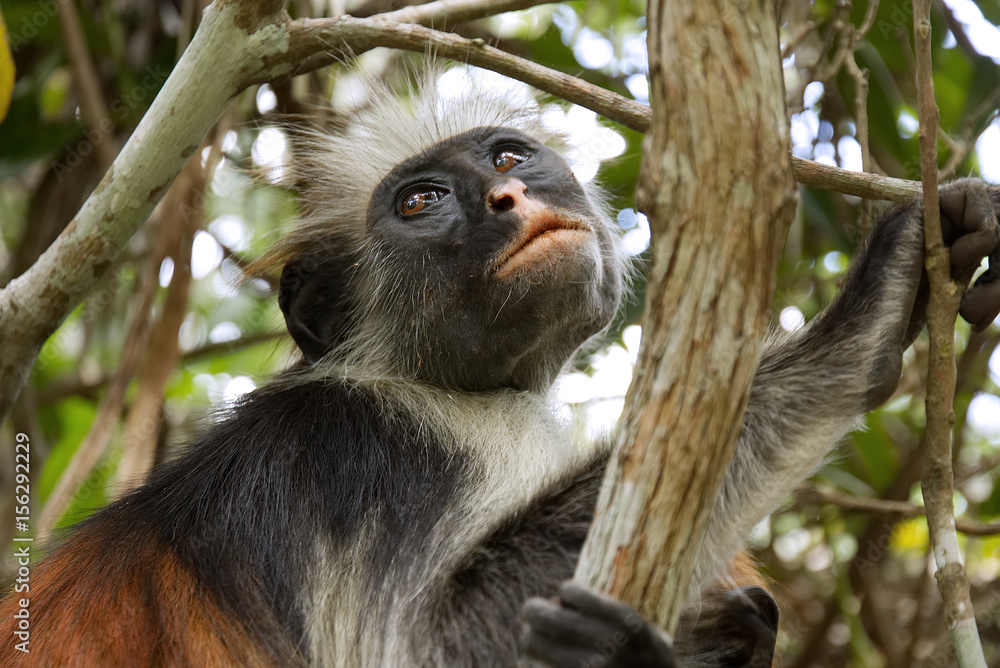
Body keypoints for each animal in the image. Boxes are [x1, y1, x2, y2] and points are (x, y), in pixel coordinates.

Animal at [1, 66, 998, 668]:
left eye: (509, 157)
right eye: (421, 201)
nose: (508, 197)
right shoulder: (368, 449)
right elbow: (427, 643)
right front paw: (876, 298)